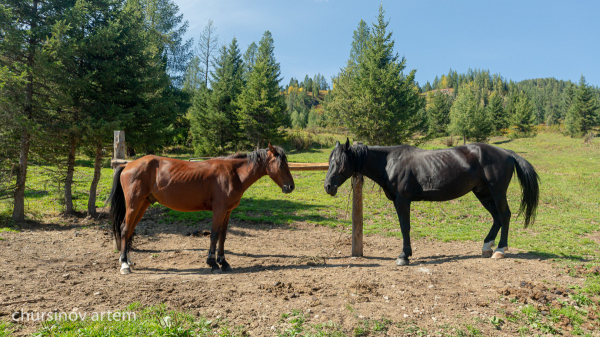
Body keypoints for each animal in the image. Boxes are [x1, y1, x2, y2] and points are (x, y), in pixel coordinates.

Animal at [109, 144, 296, 272]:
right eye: (281, 164)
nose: (290, 187)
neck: (233, 173)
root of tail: (127, 165)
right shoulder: (219, 210)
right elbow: (214, 235)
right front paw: (212, 262)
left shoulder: (227, 212)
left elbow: (223, 237)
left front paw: (223, 262)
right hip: (134, 204)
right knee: (125, 229)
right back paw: (124, 264)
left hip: (143, 204)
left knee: (130, 229)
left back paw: (127, 260)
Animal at [326, 138, 540, 266]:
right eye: (330, 162)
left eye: (340, 163)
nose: (328, 186)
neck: (390, 163)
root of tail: (507, 153)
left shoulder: (403, 200)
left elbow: (405, 226)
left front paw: (404, 256)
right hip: (483, 193)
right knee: (496, 217)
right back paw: (487, 247)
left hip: (496, 191)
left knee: (504, 215)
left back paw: (500, 250)